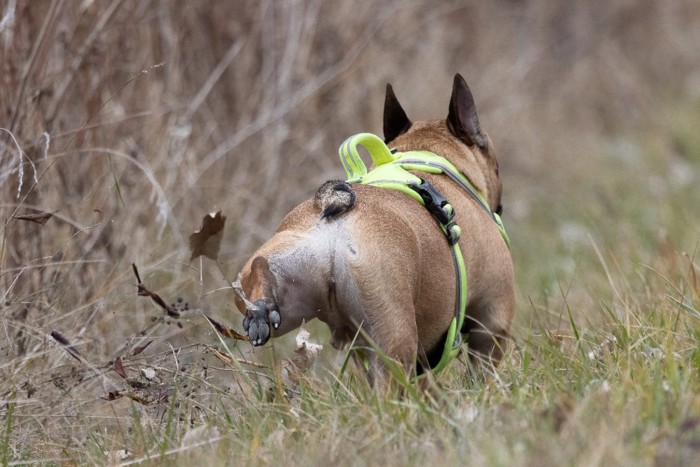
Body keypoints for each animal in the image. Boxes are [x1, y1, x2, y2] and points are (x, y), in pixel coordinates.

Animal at [235, 74, 516, 388]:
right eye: (497, 166)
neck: (425, 157)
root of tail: (332, 212)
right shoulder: (492, 321)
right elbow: (483, 368)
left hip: (286, 266)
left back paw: (260, 308)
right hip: (392, 333)